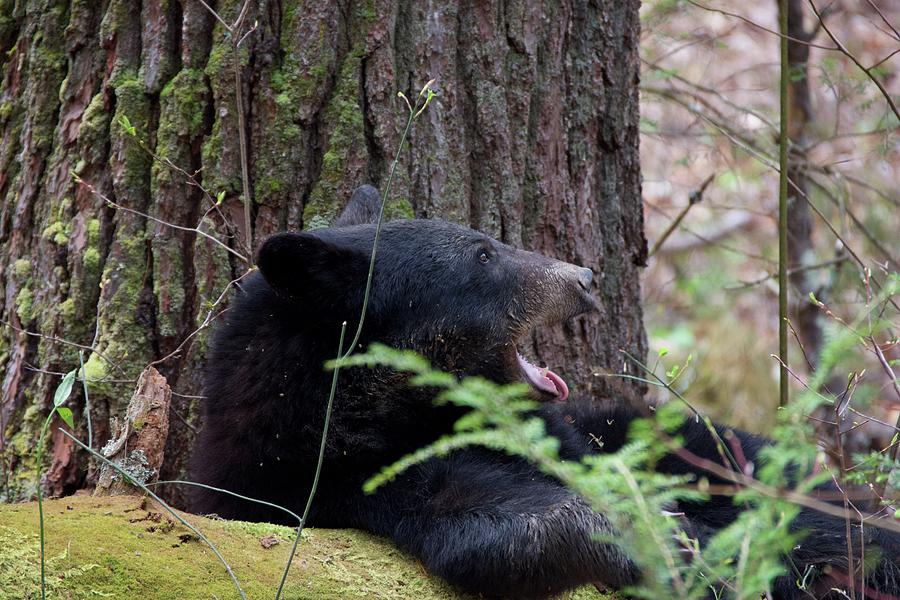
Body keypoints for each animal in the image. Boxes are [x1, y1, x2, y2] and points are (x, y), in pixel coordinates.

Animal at [192, 185, 900, 596]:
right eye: (482, 256)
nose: (583, 276)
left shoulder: (579, 434)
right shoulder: (342, 481)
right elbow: (502, 527)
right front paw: (667, 543)